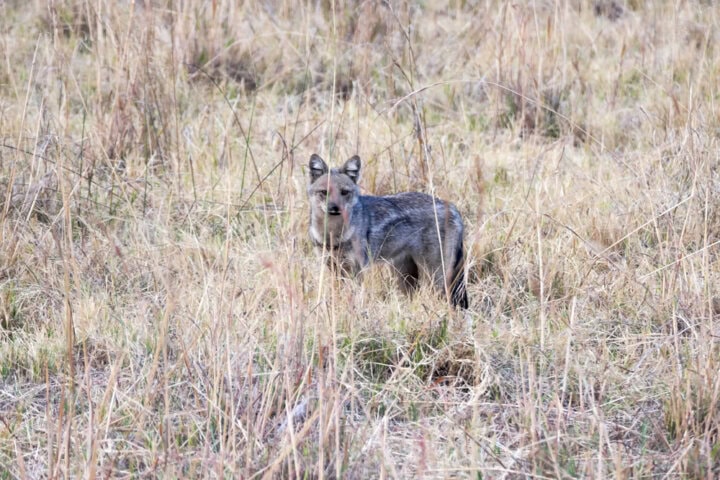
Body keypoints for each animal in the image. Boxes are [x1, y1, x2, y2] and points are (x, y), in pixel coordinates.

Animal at [307, 153, 469, 309]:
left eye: (344, 192)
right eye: (324, 192)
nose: (334, 208)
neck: (332, 235)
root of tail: (453, 207)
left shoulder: (356, 270)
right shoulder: (333, 268)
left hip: (437, 277)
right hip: (405, 277)